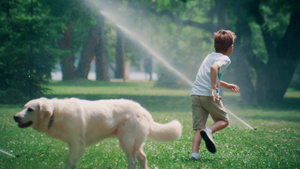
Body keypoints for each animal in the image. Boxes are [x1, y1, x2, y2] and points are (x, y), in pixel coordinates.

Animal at [13, 97, 183, 169]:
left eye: (31, 109)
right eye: (24, 107)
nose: (15, 117)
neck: (55, 114)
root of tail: (143, 110)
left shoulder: (77, 143)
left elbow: (70, 163)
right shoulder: (73, 145)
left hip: (126, 141)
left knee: (134, 160)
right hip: (133, 142)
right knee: (142, 158)